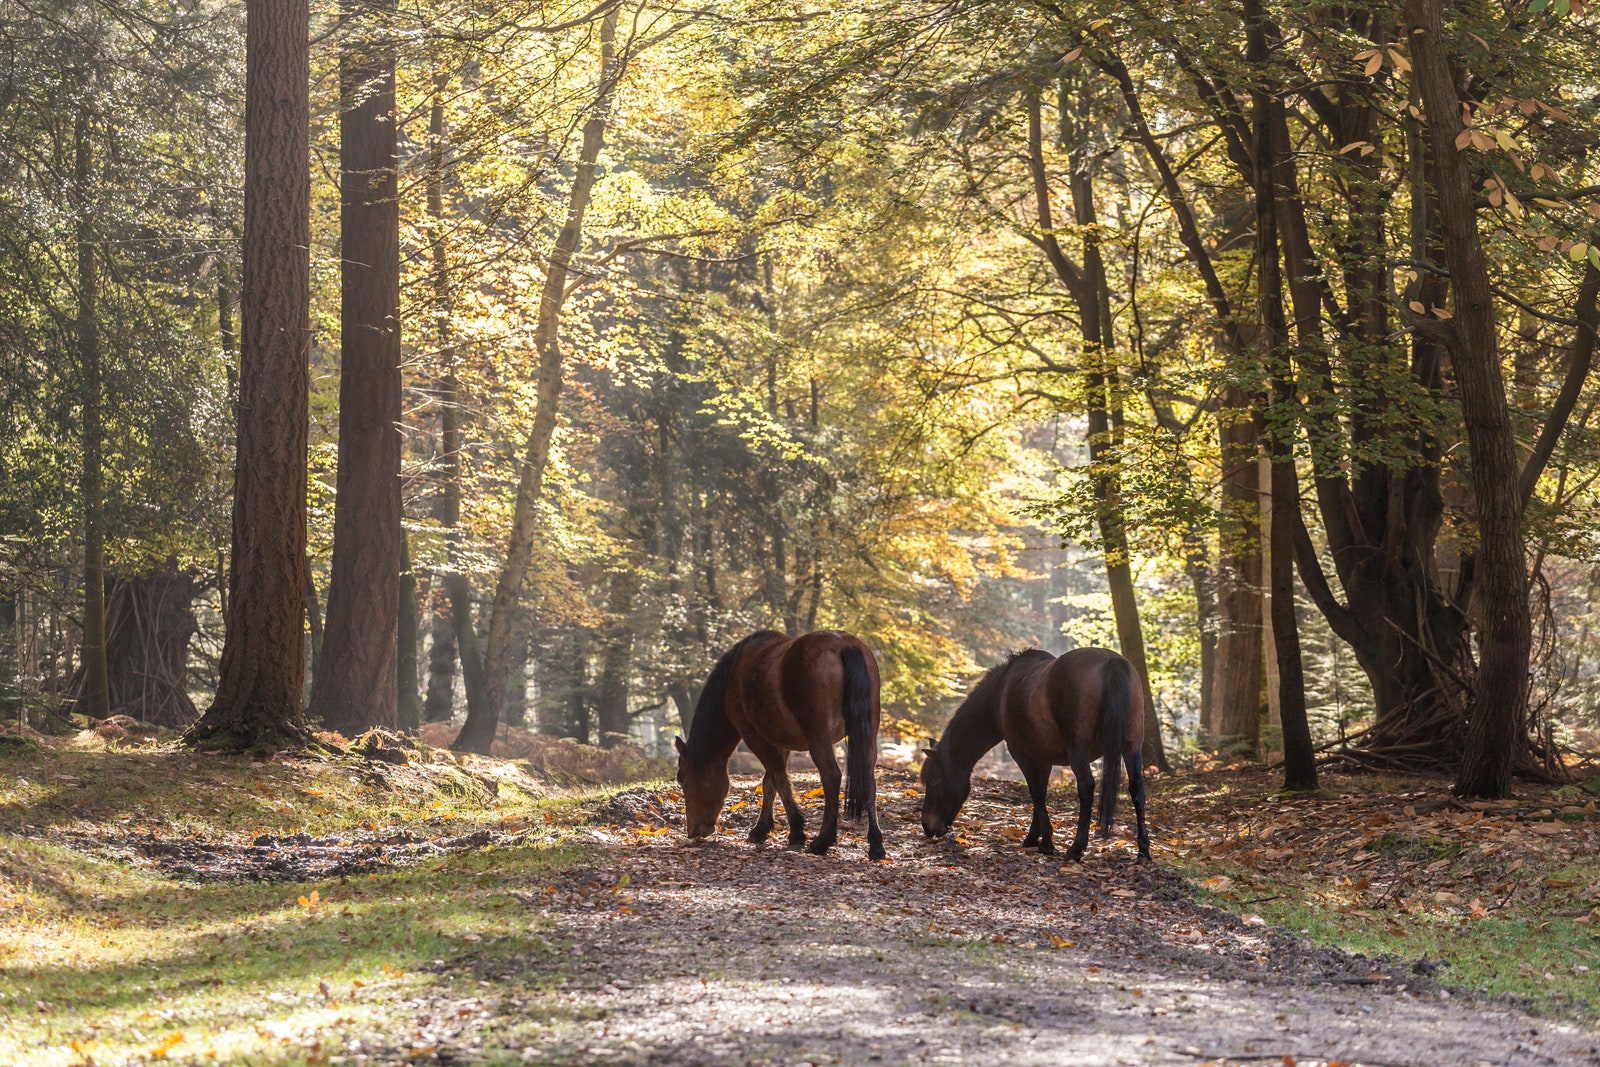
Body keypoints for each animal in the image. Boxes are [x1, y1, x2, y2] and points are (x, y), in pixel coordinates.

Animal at [675, 630, 889, 863]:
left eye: (682, 780)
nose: (693, 831)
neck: (735, 673)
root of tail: (844, 645)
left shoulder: (753, 735)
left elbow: (777, 776)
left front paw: (796, 831)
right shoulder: (779, 740)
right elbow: (771, 780)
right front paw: (762, 829)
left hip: (817, 737)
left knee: (831, 776)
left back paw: (823, 840)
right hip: (867, 736)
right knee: (869, 780)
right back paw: (876, 844)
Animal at [928, 646, 1152, 863]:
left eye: (935, 781)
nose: (927, 826)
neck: (1002, 692)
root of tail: (1111, 661)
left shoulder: (1021, 753)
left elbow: (1035, 791)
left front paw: (1045, 842)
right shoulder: (1043, 758)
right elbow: (1041, 792)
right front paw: (1035, 837)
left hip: (1078, 751)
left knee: (1086, 787)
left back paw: (1076, 848)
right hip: (1132, 746)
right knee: (1137, 789)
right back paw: (1143, 850)